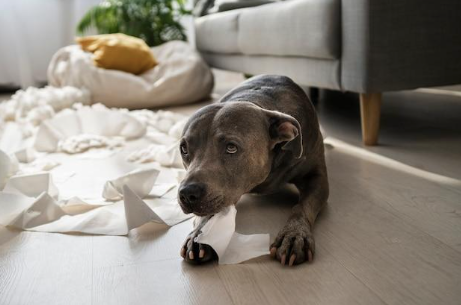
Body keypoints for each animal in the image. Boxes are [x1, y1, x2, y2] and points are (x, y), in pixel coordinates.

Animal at [176, 75, 328, 264]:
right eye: (184, 149)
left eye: (231, 148)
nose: (187, 193)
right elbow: (209, 213)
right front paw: (200, 234)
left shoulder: (316, 178)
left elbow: (302, 206)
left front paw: (294, 234)